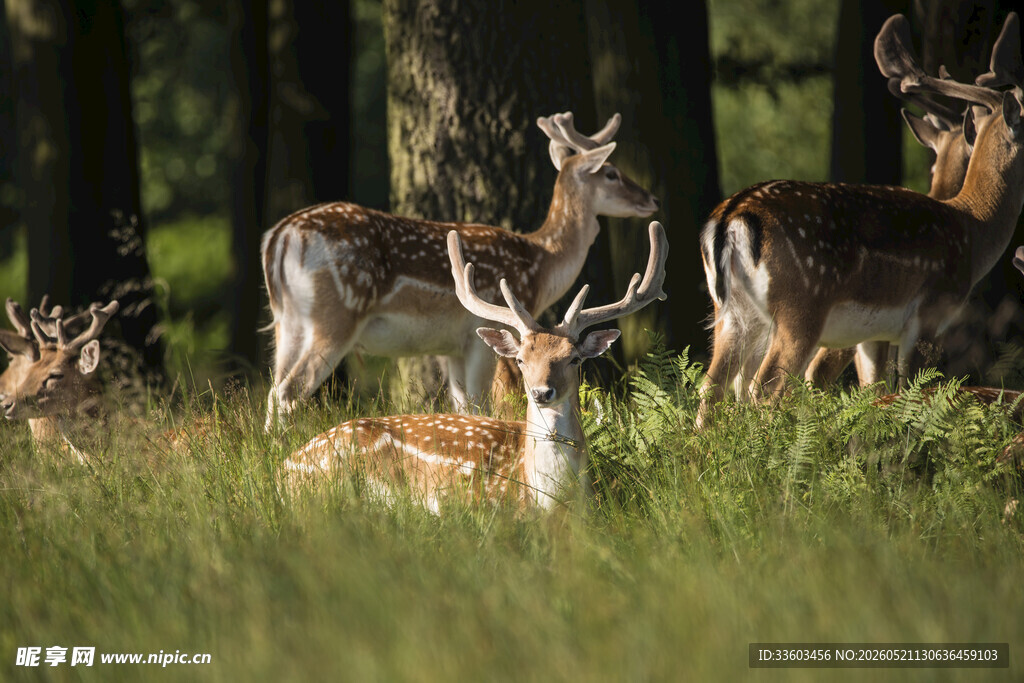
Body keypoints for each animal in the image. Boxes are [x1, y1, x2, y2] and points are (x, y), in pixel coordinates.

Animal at [261, 111, 660, 429]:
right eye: (611, 173)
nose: (652, 198)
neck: (541, 262)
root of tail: (279, 238)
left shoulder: (450, 346)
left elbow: (463, 406)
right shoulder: (482, 332)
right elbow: (484, 405)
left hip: (288, 322)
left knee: (273, 389)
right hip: (336, 314)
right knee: (290, 390)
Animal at [696, 12, 1024, 428]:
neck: (972, 227)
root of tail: (732, 217)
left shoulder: (873, 334)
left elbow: (875, 390)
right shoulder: (928, 314)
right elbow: (910, 390)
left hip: (732, 313)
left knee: (711, 388)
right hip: (801, 307)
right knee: (765, 387)